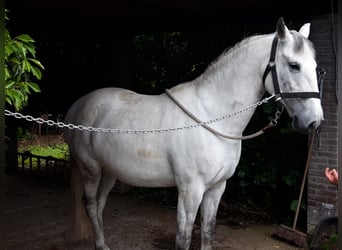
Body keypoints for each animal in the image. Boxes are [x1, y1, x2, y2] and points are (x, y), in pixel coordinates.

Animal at [63, 18, 324, 250]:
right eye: (294, 65)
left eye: (315, 68)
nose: (314, 122)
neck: (212, 115)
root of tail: (78, 105)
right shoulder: (191, 191)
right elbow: (184, 239)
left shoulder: (217, 188)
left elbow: (208, 233)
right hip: (91, 170)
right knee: (91, 206)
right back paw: (100, 244)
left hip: (109, 172)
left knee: (99, 205)